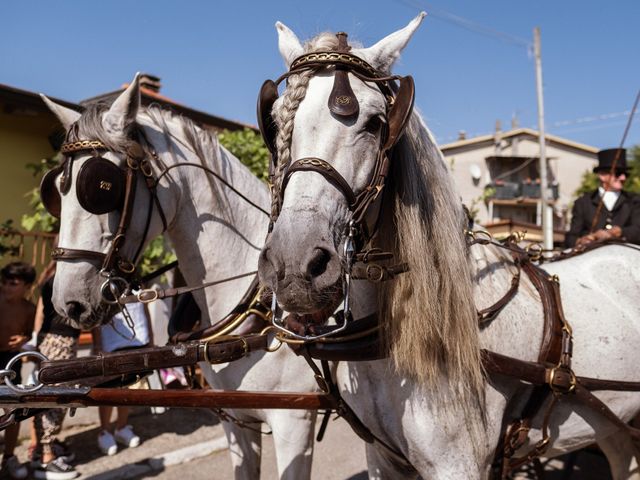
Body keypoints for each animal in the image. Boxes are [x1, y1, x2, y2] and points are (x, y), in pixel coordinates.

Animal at [258, 14, 640, 476]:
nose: (295, 265)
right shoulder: (382, 459)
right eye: (275, 121)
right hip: (613, 423)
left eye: (375, 123)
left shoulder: (457, 466)